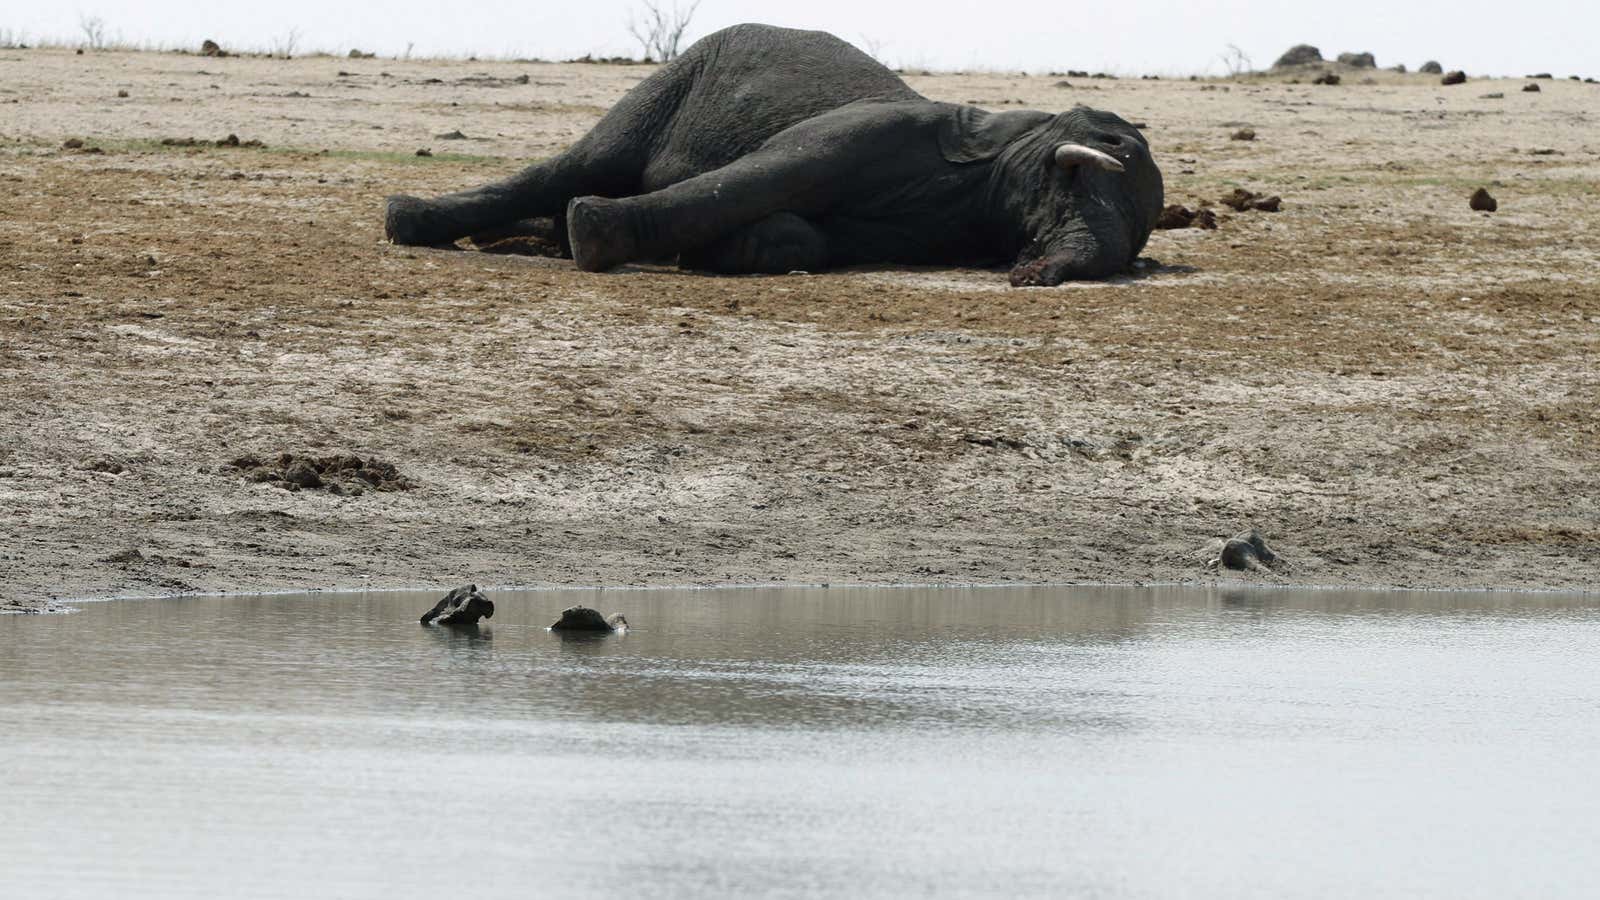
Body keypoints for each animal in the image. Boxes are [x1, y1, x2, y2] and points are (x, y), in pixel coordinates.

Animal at [384, 22, 1164, 283]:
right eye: (1090, 158)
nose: (1027, 276)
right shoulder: (872, 128)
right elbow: (769, 176)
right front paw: (592, 234)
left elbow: (800, 232)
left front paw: (708, 254)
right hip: (671, 79)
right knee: (576, 166)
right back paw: (409, 220)